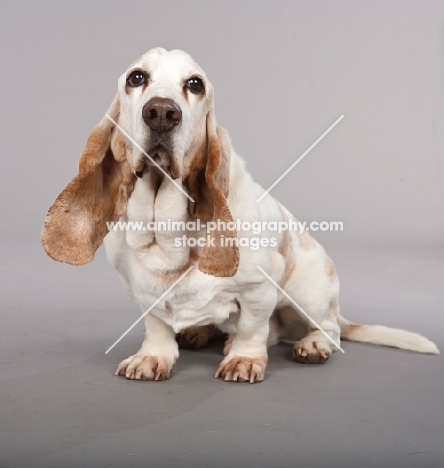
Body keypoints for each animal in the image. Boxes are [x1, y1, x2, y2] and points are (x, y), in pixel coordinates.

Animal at [40, 47, 438, 384]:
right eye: (137, 78)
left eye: (195, 84)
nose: (162, 113)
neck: (165, 230)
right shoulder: (140, 290)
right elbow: (157, 327)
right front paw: (153, 356)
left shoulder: (259, 288)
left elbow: (252, 328)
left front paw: (244, 359)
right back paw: (199, 332)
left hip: (310, 293)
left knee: (327, 329)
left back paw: (311, 344)